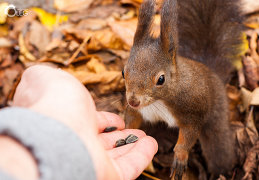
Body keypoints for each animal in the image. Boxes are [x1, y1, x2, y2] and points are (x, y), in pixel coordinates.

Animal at [123, 0, 245, 179]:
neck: (159, 101)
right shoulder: (139, 111)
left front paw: (180, 156)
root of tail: (211, 71)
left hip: (217, 114)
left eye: (161, 79)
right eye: (123, 72)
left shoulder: (194, 110)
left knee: (218, 147)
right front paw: (125, 131)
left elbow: (189, 134)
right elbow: (132, 119)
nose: (133, 101)